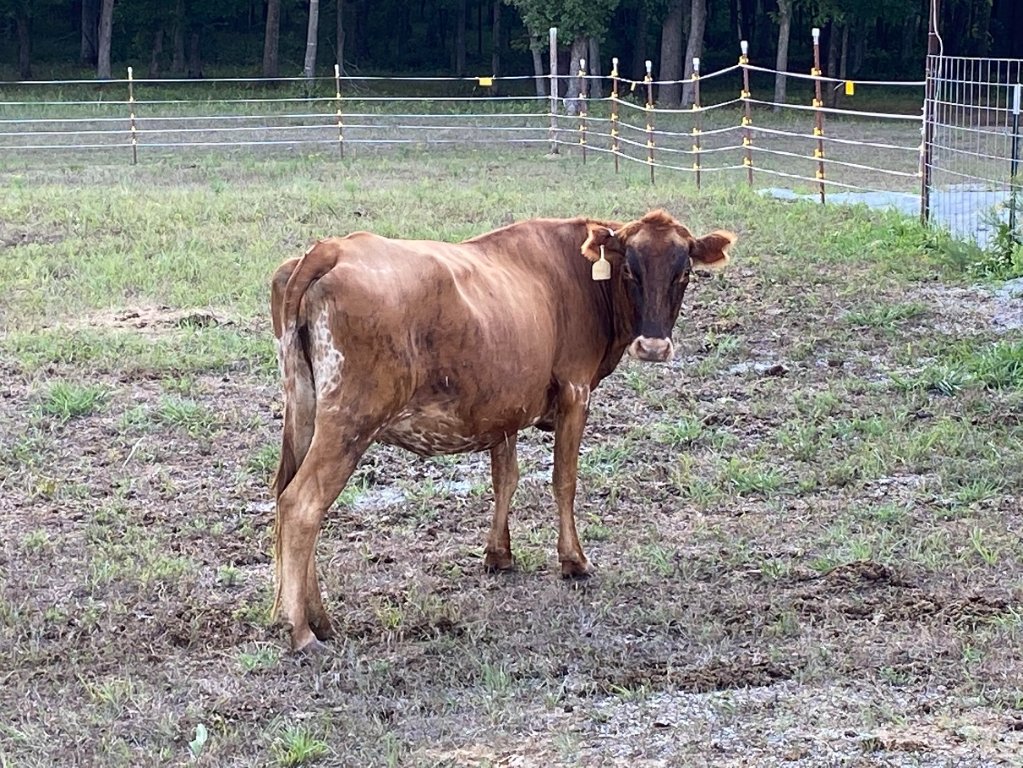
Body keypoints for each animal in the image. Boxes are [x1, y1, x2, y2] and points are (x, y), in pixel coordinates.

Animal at [270, 210, 736, 651]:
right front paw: (574, 561)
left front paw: (499, 555)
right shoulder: (575, 391)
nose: (654, 347)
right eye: (629, 271)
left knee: (284, 494)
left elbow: (505, 479)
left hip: (304, 411)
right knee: (302, 505)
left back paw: (314, 619)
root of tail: (332, 249)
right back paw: (301, 630)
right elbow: (564, 480)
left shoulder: (504, 407)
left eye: (683, 272)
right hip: (350, 422)